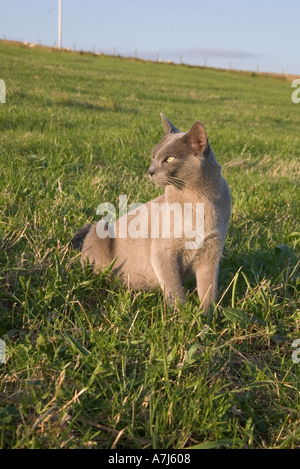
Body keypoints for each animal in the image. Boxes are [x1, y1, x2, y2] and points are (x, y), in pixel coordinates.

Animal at [71, 113, 231, 310]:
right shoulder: (163, 254)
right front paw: (181, 315)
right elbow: (174, 291)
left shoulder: (211, 254)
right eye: (153, 156)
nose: (150, 171)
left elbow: (208, 291)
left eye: (169, 159)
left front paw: (206, 316)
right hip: (100, 229)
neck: (199, 200)